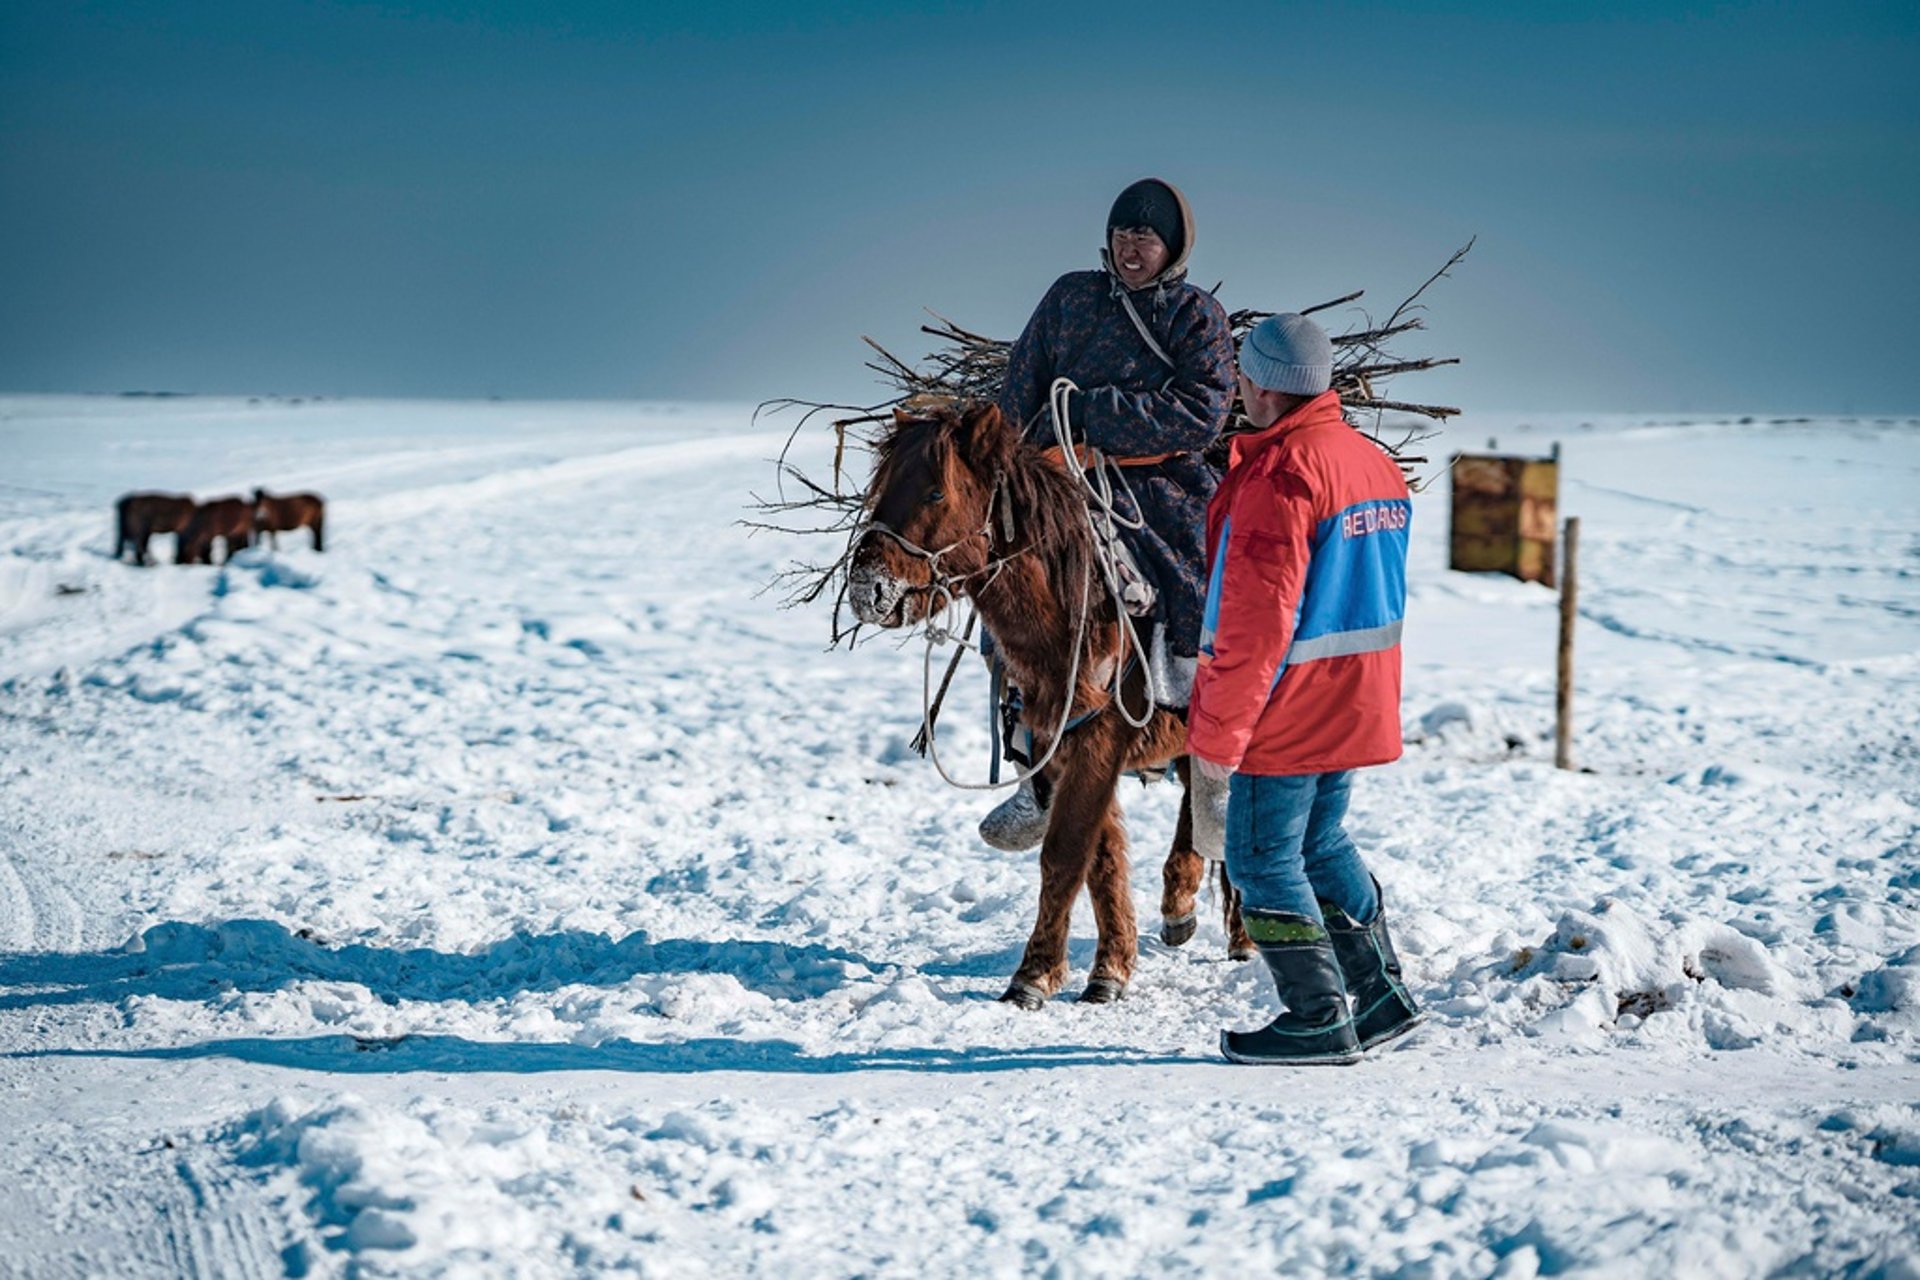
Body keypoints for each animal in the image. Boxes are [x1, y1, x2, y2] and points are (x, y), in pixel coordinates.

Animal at [848, 402, 1251, 1013]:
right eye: (881, 487)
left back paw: (1244, 935)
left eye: (936, 492)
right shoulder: (1060, 744)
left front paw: (1034, 976)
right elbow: (1099, 859)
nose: (867, 589)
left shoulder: (1099, 741)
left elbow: (1065, 852)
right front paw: (1110, 968)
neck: (1072, 614)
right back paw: (1180, 906)